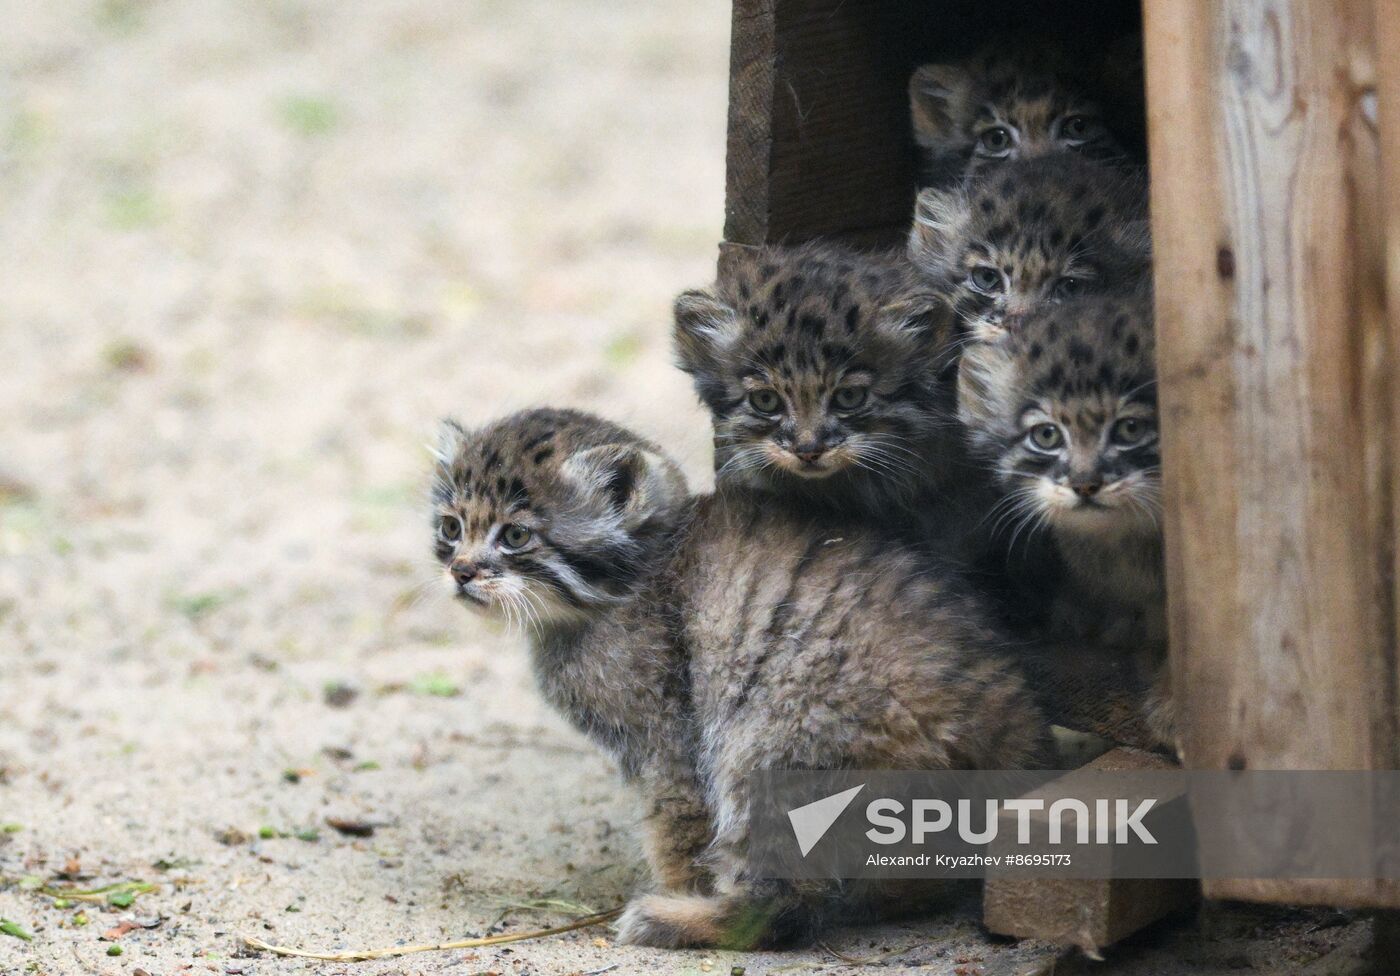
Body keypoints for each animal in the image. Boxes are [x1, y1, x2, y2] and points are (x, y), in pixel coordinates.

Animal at [431, 408, 1047, 946]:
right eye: (450, 527)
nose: (460, 571)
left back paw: (678, 919)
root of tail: (1010, 735)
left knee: (784, 907)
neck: (623, 584)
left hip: (770, 739)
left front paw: (682, 888)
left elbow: (676, 829)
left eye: (515, 537)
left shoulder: (668, 745)